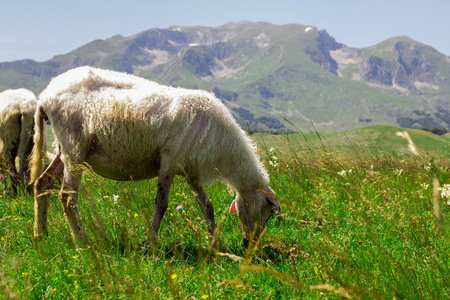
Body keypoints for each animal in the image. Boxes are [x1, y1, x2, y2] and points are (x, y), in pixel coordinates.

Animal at [29, 67, 280, 247]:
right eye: (267, 212)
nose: (250, 245)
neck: (225, 149)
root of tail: (45, 96)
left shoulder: (191, 170)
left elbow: (206, 206)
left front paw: (217, 245)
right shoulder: (169, 161)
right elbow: (161, 205)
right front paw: (150, 245)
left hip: (63, 149)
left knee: (42, 183)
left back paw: (41, 235)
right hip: (74, 146)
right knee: (67, 197)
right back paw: (82, 242)